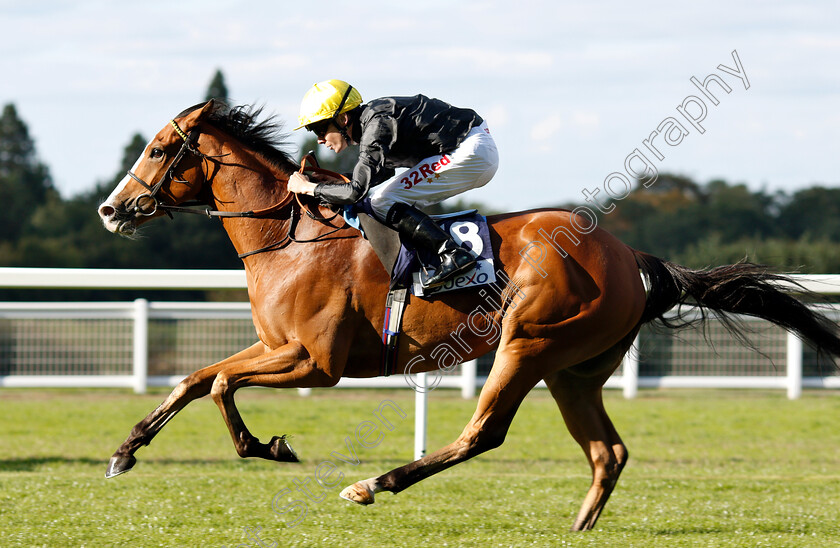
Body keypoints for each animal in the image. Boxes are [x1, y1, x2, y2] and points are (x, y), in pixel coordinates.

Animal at [97, 99, 840, 532]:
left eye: (159, 149)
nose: (110, 208)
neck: (292, 236)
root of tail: (630, 255)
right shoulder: (275, 347)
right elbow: (195, 379)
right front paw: (125, 451)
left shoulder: (314, 361)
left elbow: (220, 384)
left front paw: (266, 447)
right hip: (573, 371)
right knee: (608, 451)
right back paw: (579, 526)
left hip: (527, 343)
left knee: (484, 433)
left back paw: (375, 483)